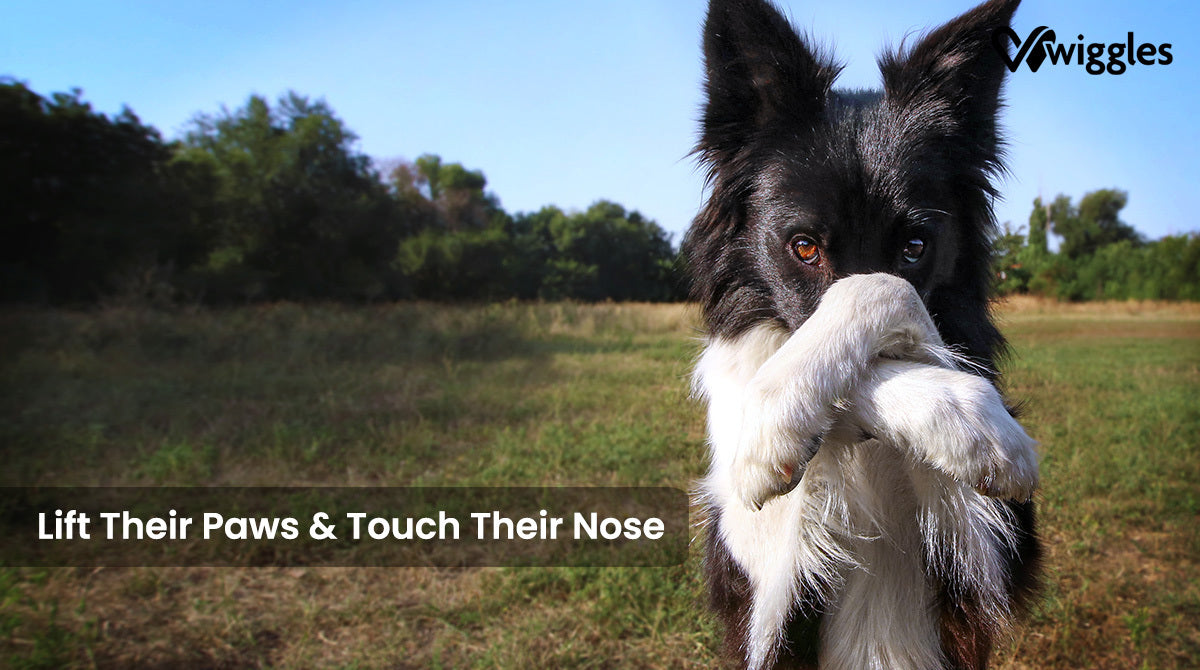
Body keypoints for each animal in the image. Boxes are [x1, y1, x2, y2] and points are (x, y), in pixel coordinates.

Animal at [686, 1, 1041, 670]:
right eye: (804, 247)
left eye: (915, 246)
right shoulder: (756, 575)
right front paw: (775, 420)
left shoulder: (993, 558)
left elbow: (882, 290)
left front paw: (975, 425)